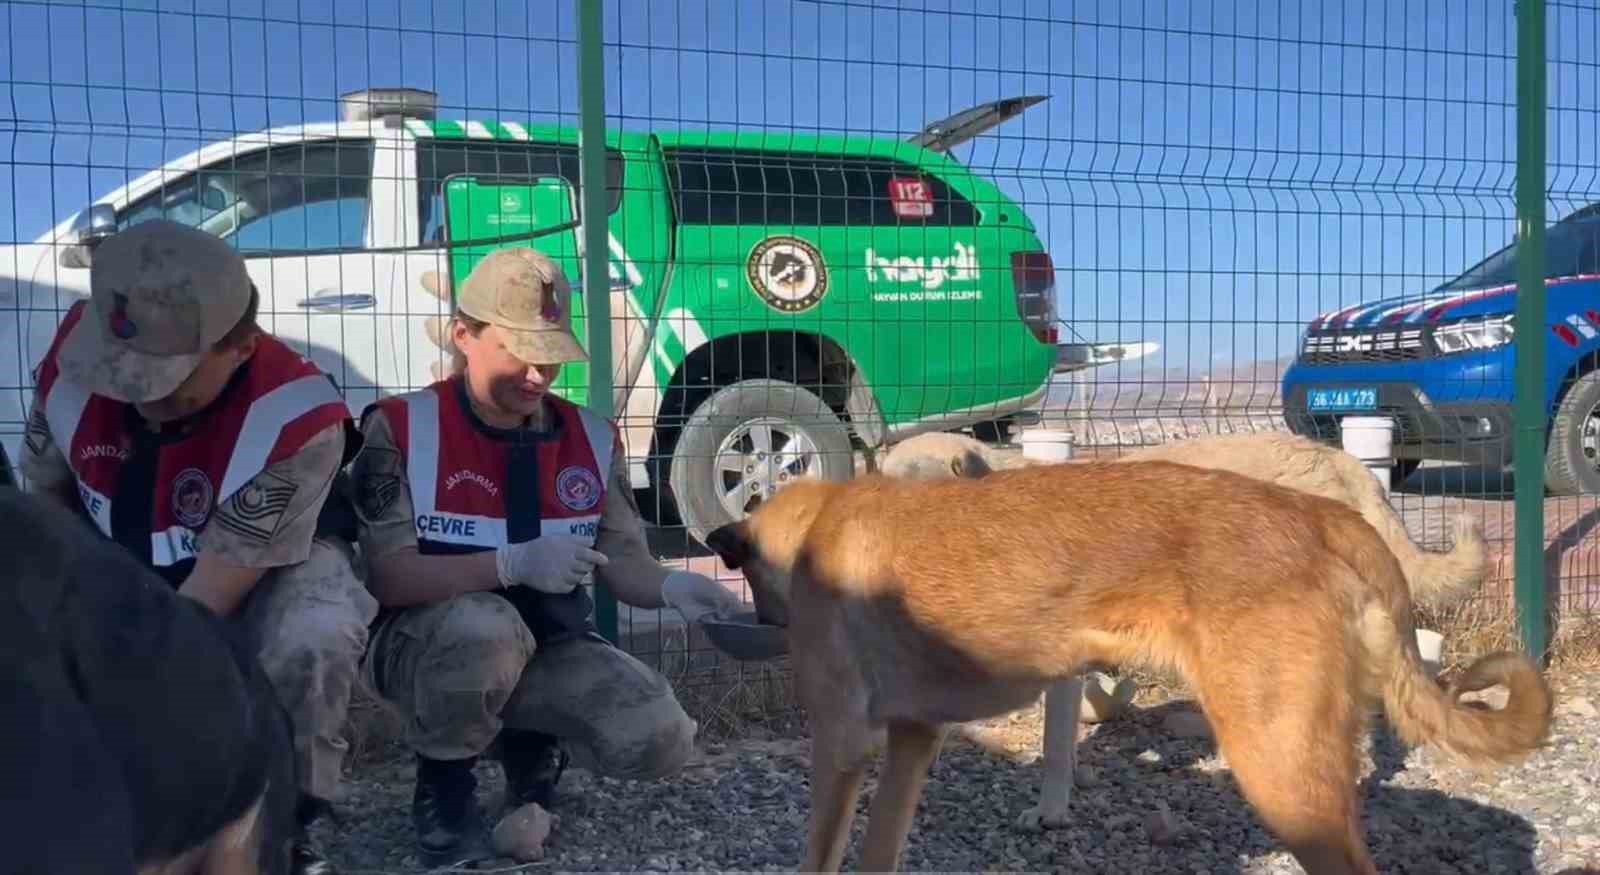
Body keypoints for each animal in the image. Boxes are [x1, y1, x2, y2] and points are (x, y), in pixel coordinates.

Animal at [704, 460, 1548, 870]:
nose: (761, 619)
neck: (819, 519)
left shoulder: (841, 745)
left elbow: (819, 855)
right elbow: (879, 851)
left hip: (1281, 774)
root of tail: (1322, 513)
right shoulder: (914, 739)